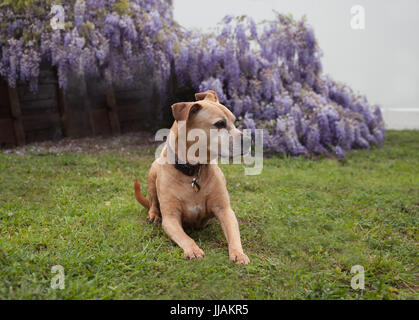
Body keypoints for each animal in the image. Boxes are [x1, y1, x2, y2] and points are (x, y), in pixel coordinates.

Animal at [136, 90, 251, 264]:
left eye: (233, 121)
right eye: (219, 124)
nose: (250, 140)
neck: (193, 171)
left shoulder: (224, 210)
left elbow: (233, 234)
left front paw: (238, 253)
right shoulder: (170, 218)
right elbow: (185, 237)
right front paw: (193, 249)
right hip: (152, 172)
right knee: (153, 202)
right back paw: (153, 215)